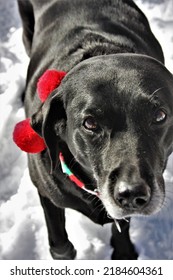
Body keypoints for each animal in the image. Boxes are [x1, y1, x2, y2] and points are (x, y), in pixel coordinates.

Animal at [17, 0, 173, 260]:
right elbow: (60, 246)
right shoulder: (46, 193)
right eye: (90, 123)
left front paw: (124, 250)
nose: (131, 194)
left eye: (160, 115)